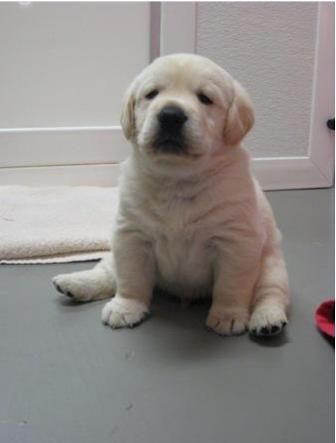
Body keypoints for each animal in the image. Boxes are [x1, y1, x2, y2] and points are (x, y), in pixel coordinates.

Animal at [52, 54, 288, 336]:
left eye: (205, 98)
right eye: (152, 94)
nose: (171, 115)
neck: (177, 180)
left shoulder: (236, 242)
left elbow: (231, 285)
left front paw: (228, 315)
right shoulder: (131, 236)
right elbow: (131, 279)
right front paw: (126, 307)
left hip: (271, 267)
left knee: (271, 293)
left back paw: (267, 320)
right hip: (114, 252)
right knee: (108, 274)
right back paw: (74, 283)